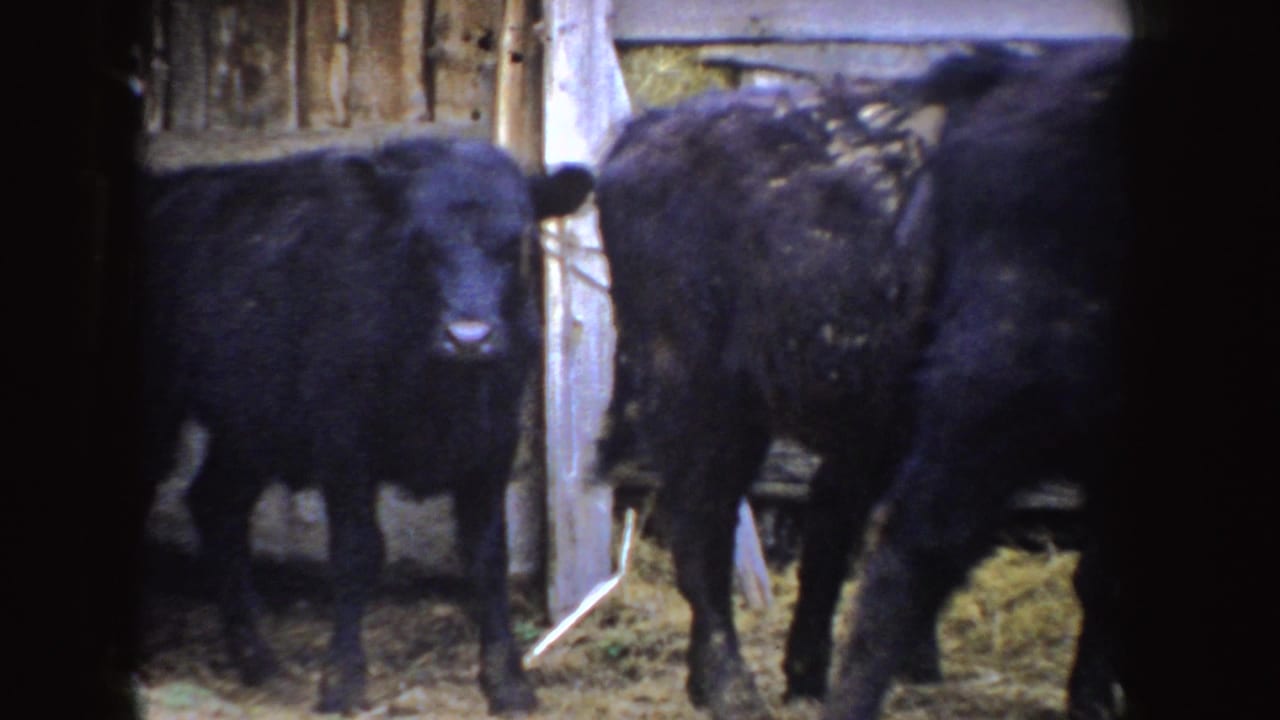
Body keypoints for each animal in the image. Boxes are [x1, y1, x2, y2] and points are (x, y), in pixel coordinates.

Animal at [140, 136, 593, 714]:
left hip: (251, 427)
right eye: (418, 241)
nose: (468, 337)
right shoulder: (344, 446)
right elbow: (357, 552)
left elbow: (488, 556)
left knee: (216, 503)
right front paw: (342, 681)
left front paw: (508, 682)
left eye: (517, 242)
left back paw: (259, 662)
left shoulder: (492, 444)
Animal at [594, 39, 1131, 720]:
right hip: (702, 398)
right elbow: (907, 569)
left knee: (821, 519)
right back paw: (732, 689)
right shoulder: (974, 427)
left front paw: (1093, 698)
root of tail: (642, 135)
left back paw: (794, 676)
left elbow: (1101, 580)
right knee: (705, 530)